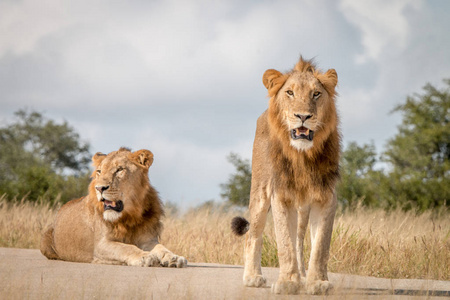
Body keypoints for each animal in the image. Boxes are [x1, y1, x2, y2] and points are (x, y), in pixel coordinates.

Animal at [39, 147, 185, 268]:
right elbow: (126, 248)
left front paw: (174, 257)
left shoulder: (148, 239)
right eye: (99, 171)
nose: (99, 188)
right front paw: (145, 256)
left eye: (119, 169)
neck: (130, 215)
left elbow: (161, 247)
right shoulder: (101, 245)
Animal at [232, 56, 338, 296]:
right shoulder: (280, 196)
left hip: (302, 207)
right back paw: (252, 277)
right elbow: (284, 243)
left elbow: (320, 246)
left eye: (316, 94)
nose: (303, 116)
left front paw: (317, 282)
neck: (303, 157)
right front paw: (288, 282)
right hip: (260, 193)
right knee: (252, 236)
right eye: (290, 92)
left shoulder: (326, 197)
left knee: (299, 240)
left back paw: (303, 277)